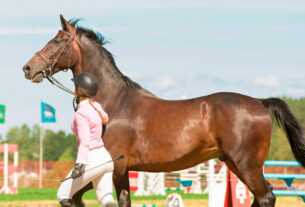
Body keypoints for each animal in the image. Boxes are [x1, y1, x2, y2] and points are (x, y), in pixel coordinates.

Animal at [22, 16, 304, 207]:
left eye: (56, 41)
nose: (28, 68)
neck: (113, 102)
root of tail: (259, 101)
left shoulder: (114, 167)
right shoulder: (113, 170)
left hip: (246, 165)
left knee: (265, 196)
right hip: (235, 164)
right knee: (262, 195)